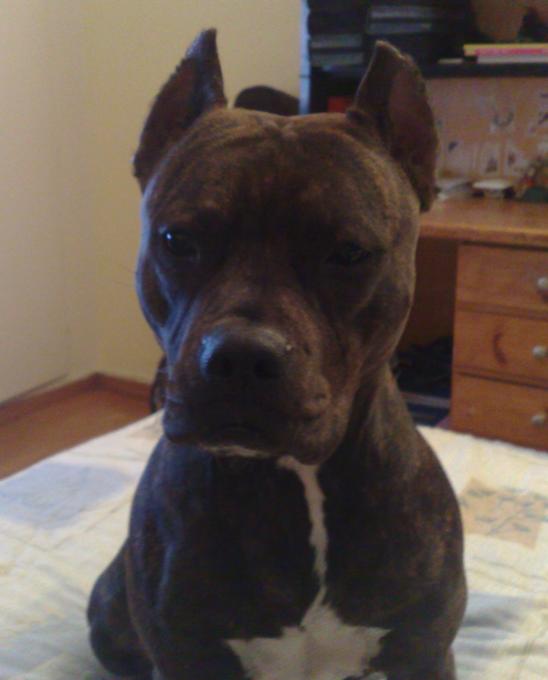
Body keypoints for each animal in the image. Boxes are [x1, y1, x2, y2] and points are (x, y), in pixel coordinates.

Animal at [88, 30, 466, 680]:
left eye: (349, 252)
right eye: (177, 240)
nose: (240, 358)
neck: (294, 480)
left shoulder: (424, 652)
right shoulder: (184, 655)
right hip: (108, 609)